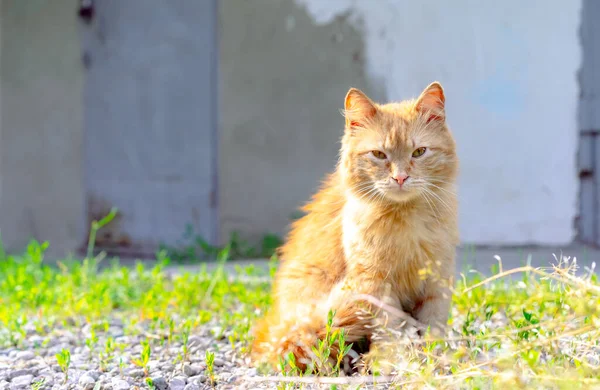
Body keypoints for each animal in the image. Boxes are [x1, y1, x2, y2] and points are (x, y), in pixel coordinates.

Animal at [251, 81, 458, 372]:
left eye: (419, 152)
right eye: (379, 155)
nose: (401, 177)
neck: (405, 223)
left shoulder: (436, 283)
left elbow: (433, 328)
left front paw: (434, 359)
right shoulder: (375, 284)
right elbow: (390, 329)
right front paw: (392, 360)